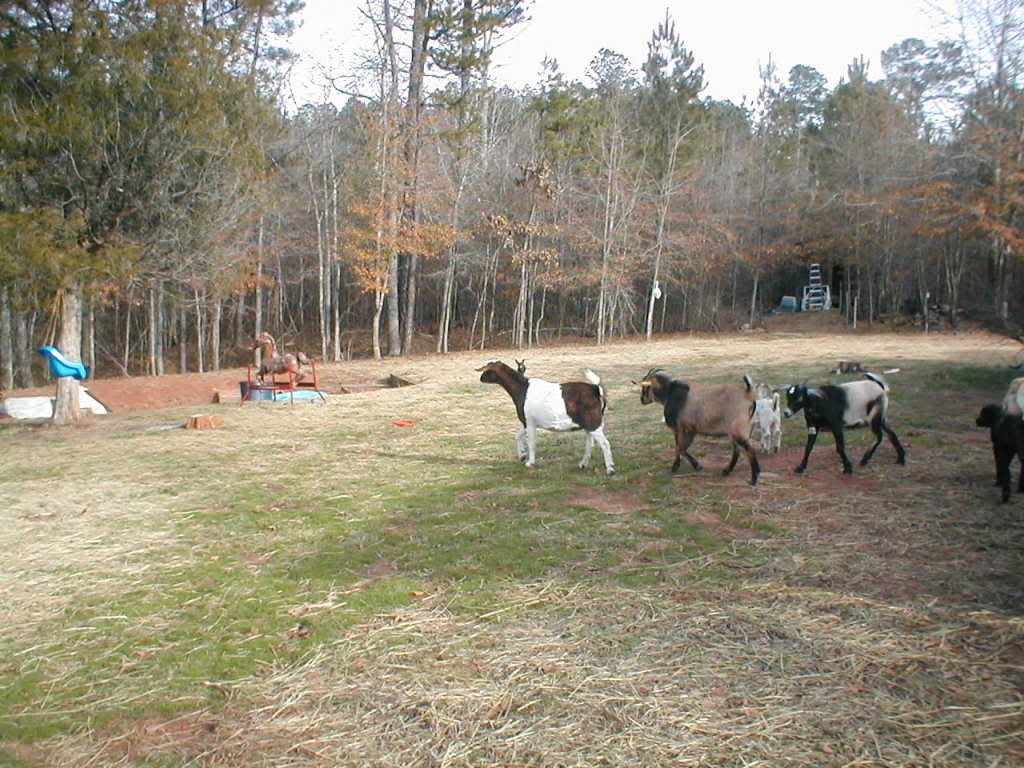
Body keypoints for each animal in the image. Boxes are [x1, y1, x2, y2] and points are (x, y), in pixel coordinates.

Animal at [476, 360, 614, 475]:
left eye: (487, 370)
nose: (481, 378)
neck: (523, 389)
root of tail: (596, 389)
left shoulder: (530, 422)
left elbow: (531, 443)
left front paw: (530, 462)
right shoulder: (526, 422)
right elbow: (517, 435)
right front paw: (522, 455)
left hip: (594, 423)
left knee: (605, 443)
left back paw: (610, 469)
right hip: (589, 425)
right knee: (590, 444)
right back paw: (582, 464)